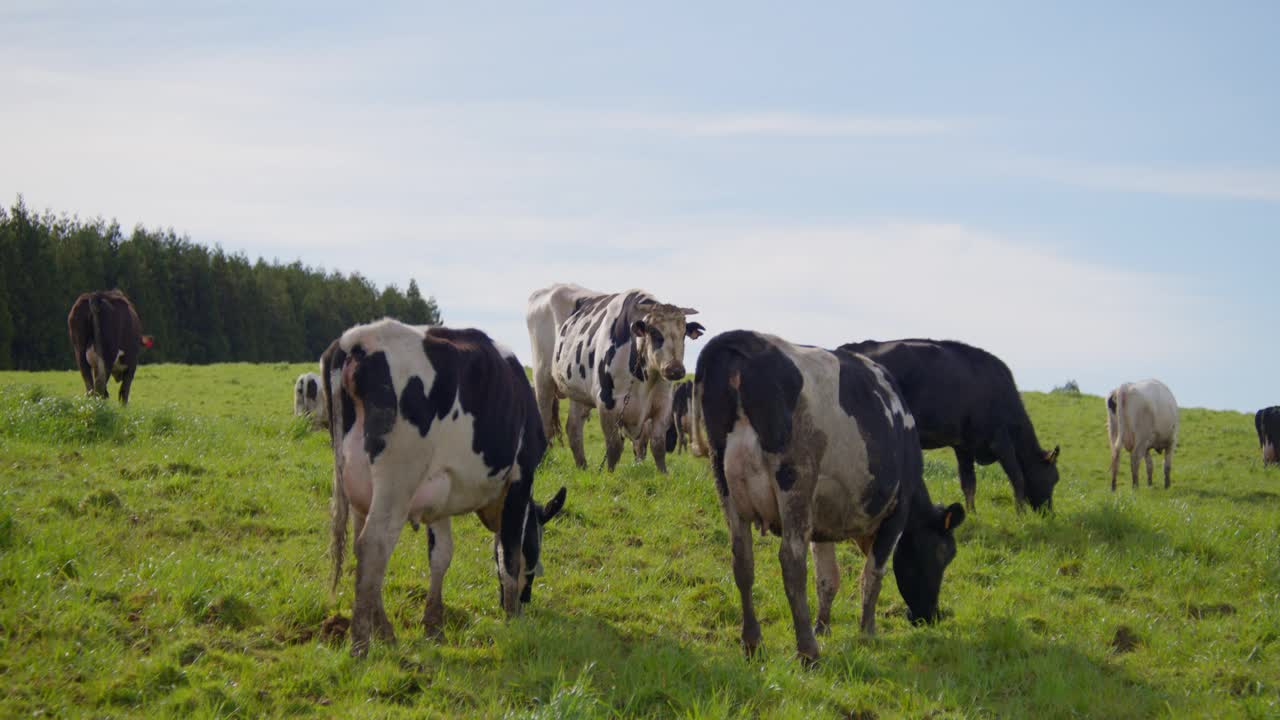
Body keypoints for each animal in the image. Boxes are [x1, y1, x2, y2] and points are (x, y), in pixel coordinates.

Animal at [325, 316, 570, 653]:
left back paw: (383, 629)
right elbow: (509, 554)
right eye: (537, 549)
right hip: (396, 482)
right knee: (373, 545)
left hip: (359, 488)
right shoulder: (520, 478)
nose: (528, 599)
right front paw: (513, 619)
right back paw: (362, 643)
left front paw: (434, 625)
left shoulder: (439, 491)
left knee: (362, 552)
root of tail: (358, 339)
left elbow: (441, 556)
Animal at [529, 283, 711, 474]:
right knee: (546, 424)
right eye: (654, 332)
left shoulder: (663, 405)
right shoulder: (606, 404)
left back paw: (582, 467)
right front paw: (609, 474)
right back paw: (541, 464)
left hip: (577, 391)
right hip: (542, 379)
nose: (675, 369)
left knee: (573, 428)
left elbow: (657, 445)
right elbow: (614, 446)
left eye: (684, 334)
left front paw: (663, 474)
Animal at [696, 327, 962, 661]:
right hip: (795, 479)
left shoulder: (821, 520)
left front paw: (823, 627)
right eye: (943, 554)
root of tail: (746, 340)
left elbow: (828, 579)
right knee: (791, 561)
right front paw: (866, 632)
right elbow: (873, 574)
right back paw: (808, 652)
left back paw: (753, 642)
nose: (930, 616)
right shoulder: (896, 512)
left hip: (725, 482)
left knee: (742, 560)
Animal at [839, 335, 1059, 509]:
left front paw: (972, 514)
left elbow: (969, 483)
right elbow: (1018, 478)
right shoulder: (1000, 441)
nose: (1049, 514)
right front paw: (1021, 515)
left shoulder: (964, 446)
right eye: (1054, 478)